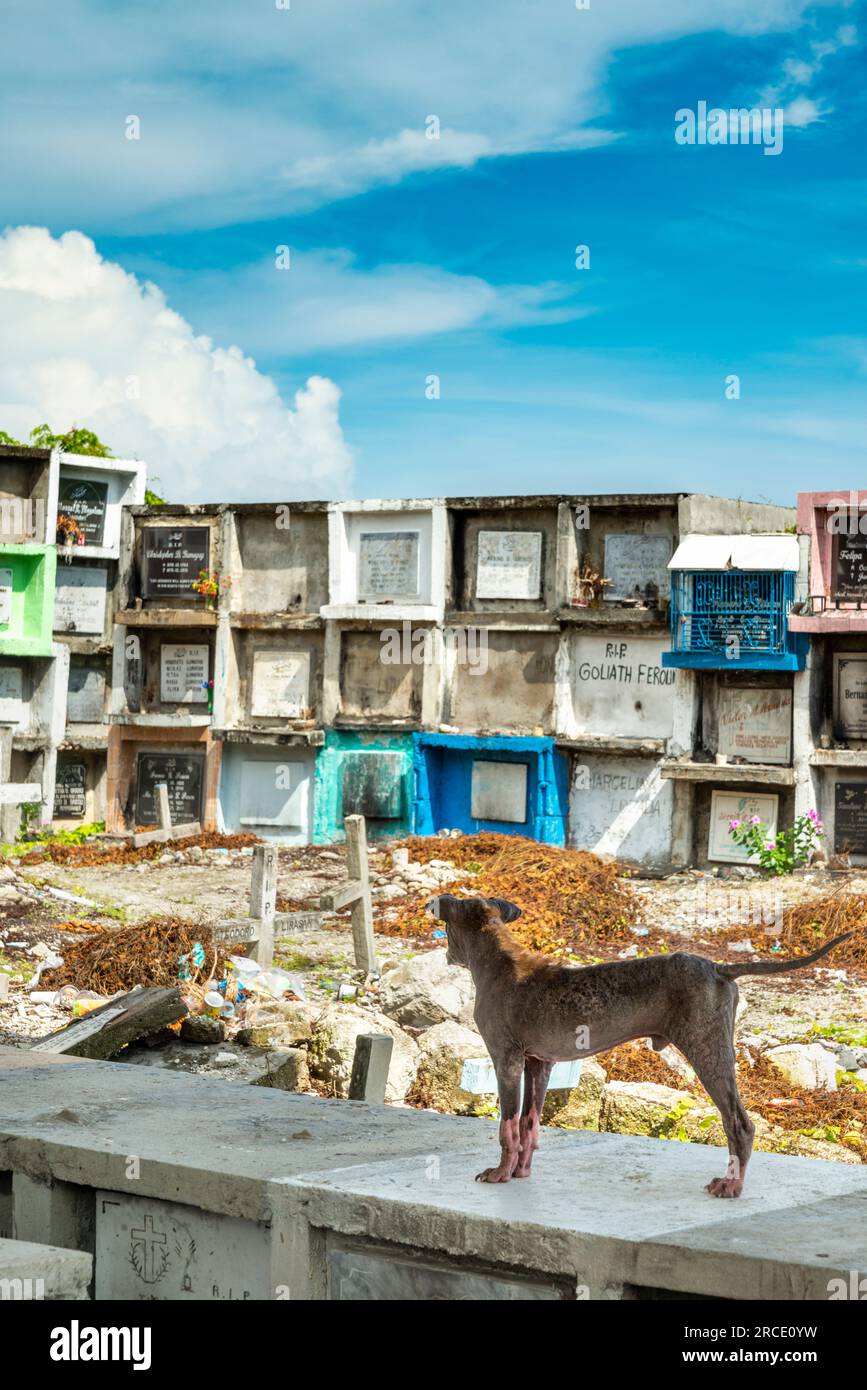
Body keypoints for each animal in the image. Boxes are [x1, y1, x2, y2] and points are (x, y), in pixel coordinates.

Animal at [427, 895, 855, 1200]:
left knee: (739, 1123)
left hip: (707, 1049)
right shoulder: (540, 1063)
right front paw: (520, 1172)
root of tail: (719, 967)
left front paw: (500, 1173)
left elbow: (507, 1126)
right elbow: (529, 1125)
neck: (498, 961)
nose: (445, 949)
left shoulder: (507, 1060)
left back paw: (731, 1185)